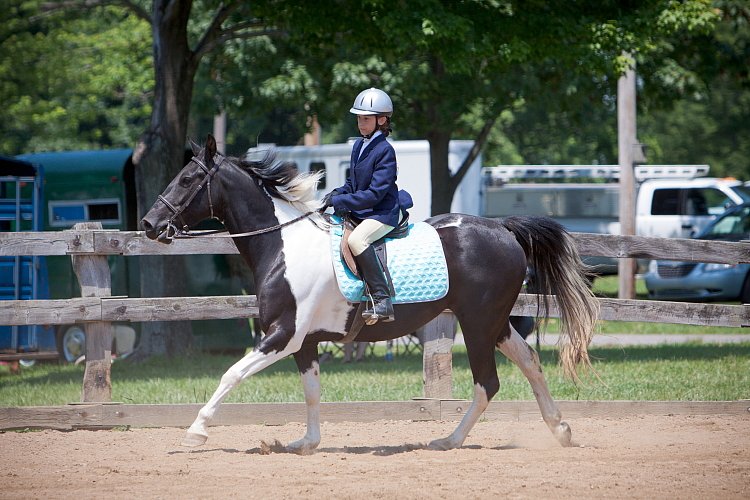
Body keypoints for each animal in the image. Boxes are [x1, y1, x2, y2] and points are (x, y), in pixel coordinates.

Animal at [141, 135, 600, 452]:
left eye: (187, 179)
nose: (148, 224)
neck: (283, 244)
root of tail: (502, 228)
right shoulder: (304, 341)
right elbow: (312, 391)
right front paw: (304, 443)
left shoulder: (282, 335)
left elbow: (231, 374)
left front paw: (196, 431)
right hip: (495, 323)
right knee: (530, 362)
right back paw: (559, 429)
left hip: (477, 324)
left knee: (488, 382)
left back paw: (449, 440)